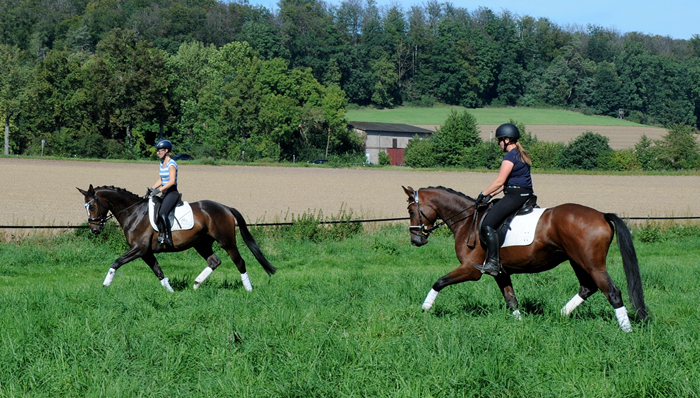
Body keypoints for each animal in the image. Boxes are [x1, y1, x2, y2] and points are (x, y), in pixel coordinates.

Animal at [76, 185, 274, 290]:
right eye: (85, 207)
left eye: (92, 206)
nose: (94, 229)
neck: (134, 212)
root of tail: (225, 207)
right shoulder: (145, 252)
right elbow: (158, 271)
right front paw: (170, 291)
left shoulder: (139, 249)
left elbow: (116, 262)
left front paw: (105, 285)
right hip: (201, 243)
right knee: (214, 261)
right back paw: (196, 284)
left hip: (226, 241)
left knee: (239, 262)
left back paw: (248, 289)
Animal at [402, 187, 648, 332]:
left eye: (411, 211)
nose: (416, 240)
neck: (467, 219)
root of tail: (602, 215)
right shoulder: (500, 272)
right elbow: (511, 300)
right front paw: (520, 324)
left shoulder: (471, 270)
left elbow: (439, 282)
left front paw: (425, 309)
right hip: (577, 261)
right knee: (588, 287)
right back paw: (559, 315)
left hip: (592, 263)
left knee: (612, 292)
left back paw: (626, 331)